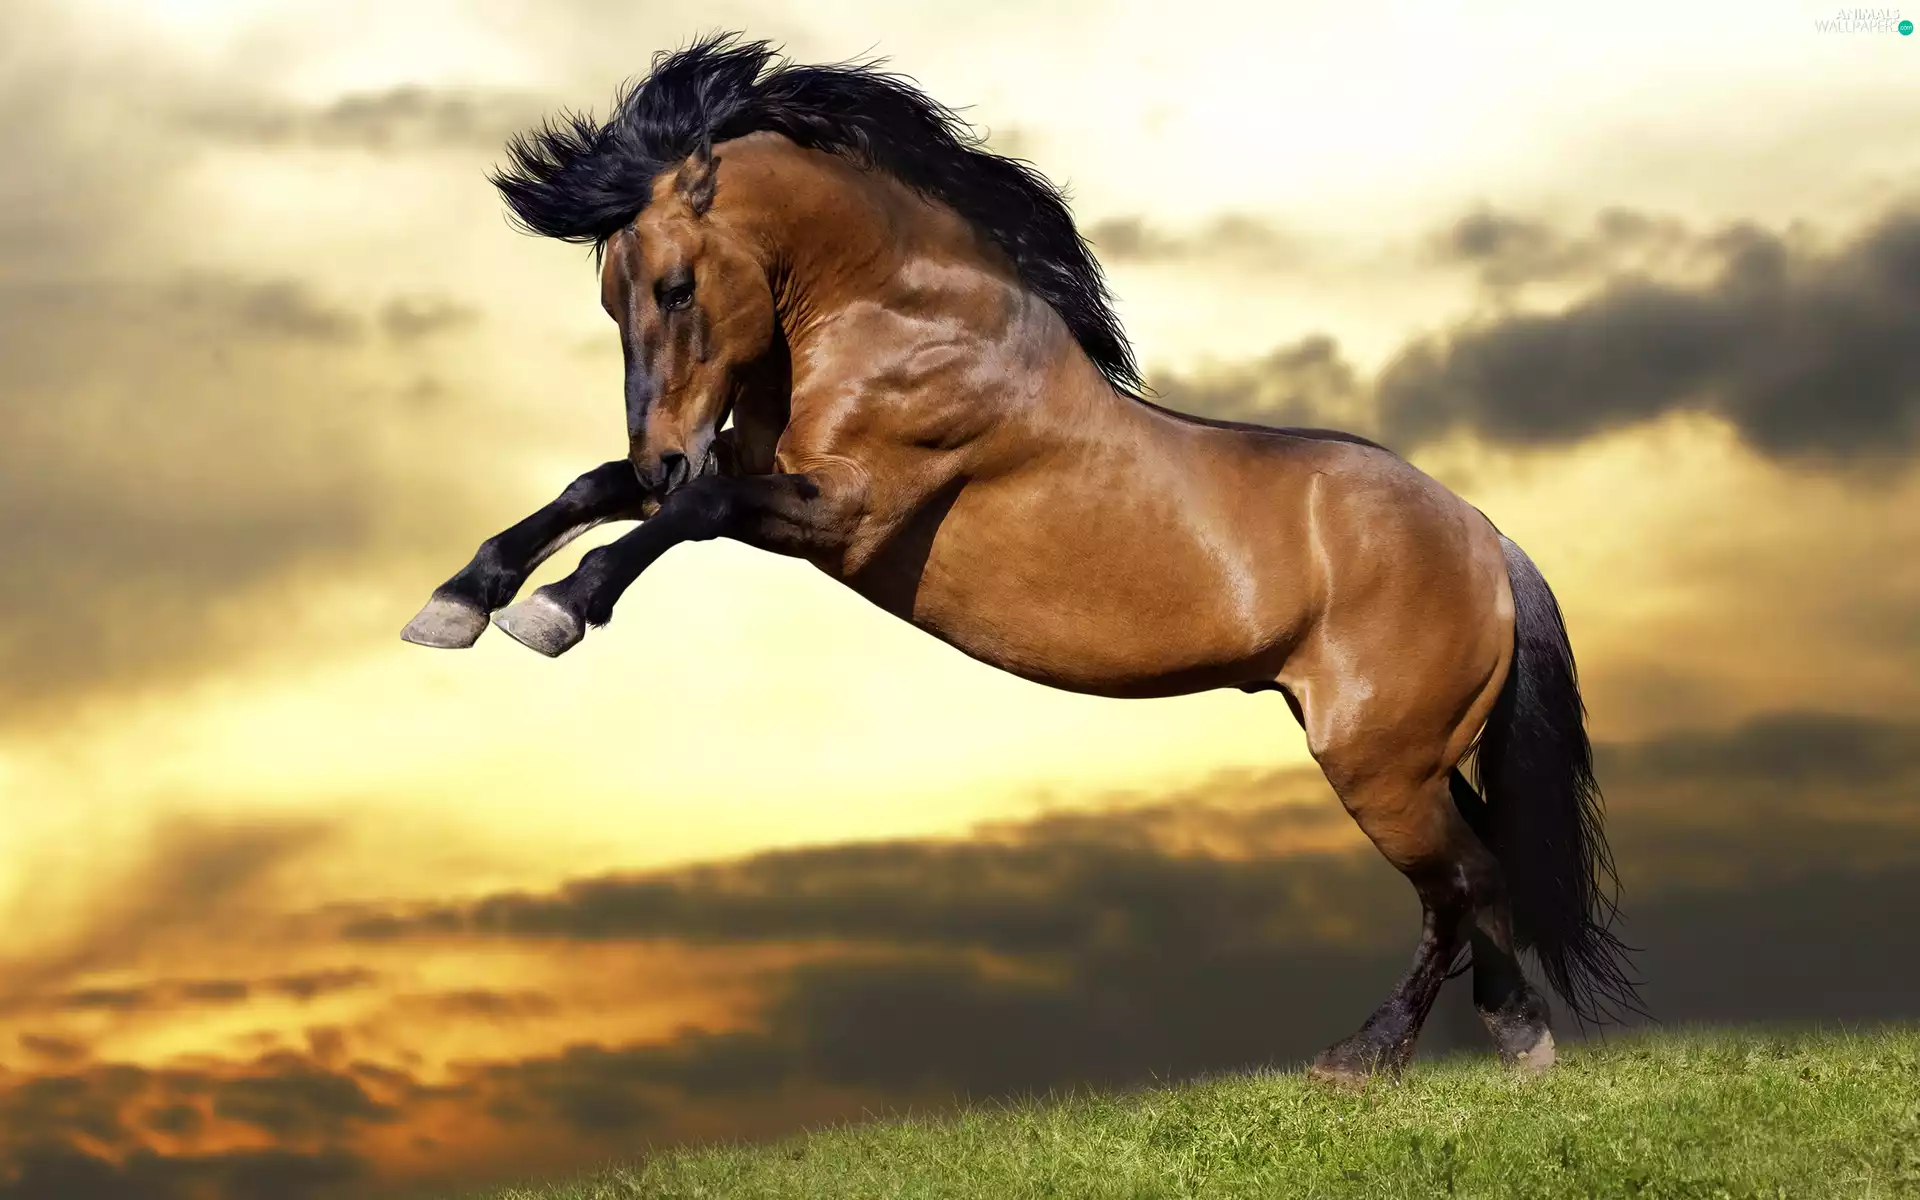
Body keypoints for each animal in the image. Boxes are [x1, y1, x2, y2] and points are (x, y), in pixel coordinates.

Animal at [401, 34, 1640, 1085]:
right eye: (611, 295)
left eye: (672, 287)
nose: (660, 445)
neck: (896, 315)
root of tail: (1485, 536)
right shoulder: (754, 476)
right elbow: (596, 491)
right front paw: (456, 604)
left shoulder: (841, 511)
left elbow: (684, 511)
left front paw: (557, 609)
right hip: (1413, 756)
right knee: (1481, 876)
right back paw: (1515, 1039)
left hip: (1377, 763)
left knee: (1460, 884)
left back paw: (1369, 1057)